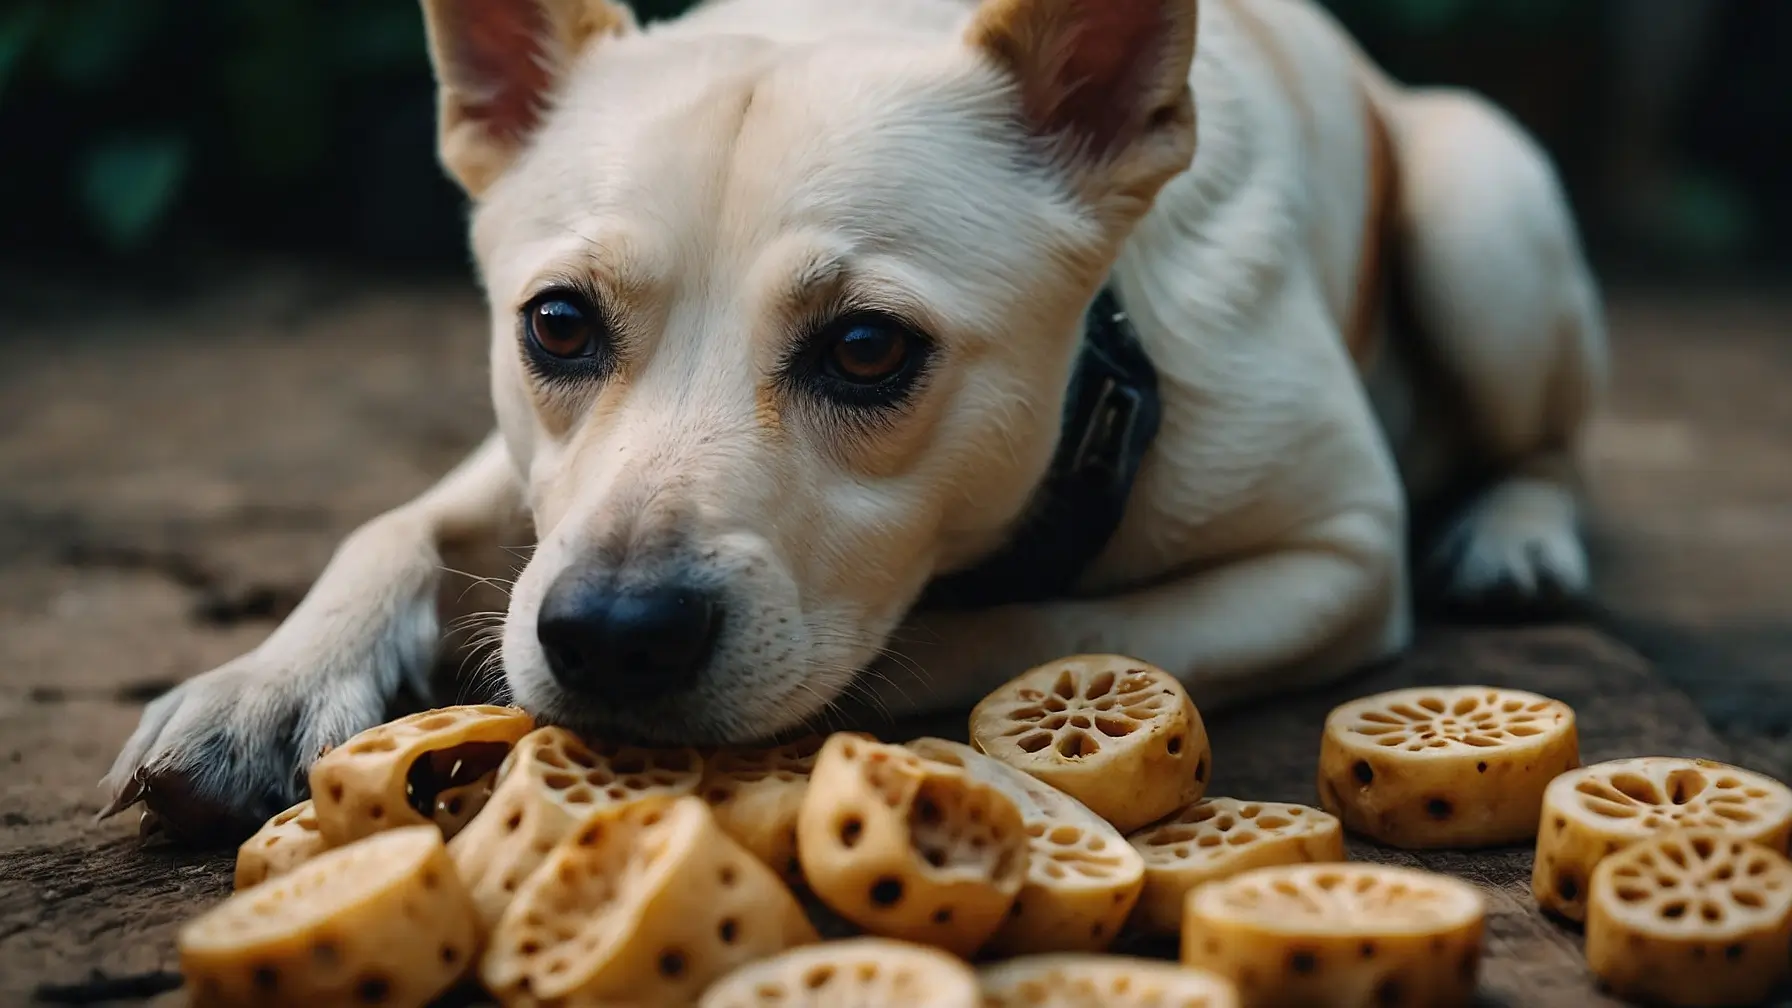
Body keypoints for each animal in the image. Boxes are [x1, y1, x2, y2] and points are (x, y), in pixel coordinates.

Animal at [101, 0, 1612, 832]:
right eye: (557, 326)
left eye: (870, 350)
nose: (609, 638)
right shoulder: (518, 472)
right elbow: (391, 528)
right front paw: (262, 689)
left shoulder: (1341, 554)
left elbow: (1023, 625)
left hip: (1481, 216)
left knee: (1544, 437)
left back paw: (1519, 534)